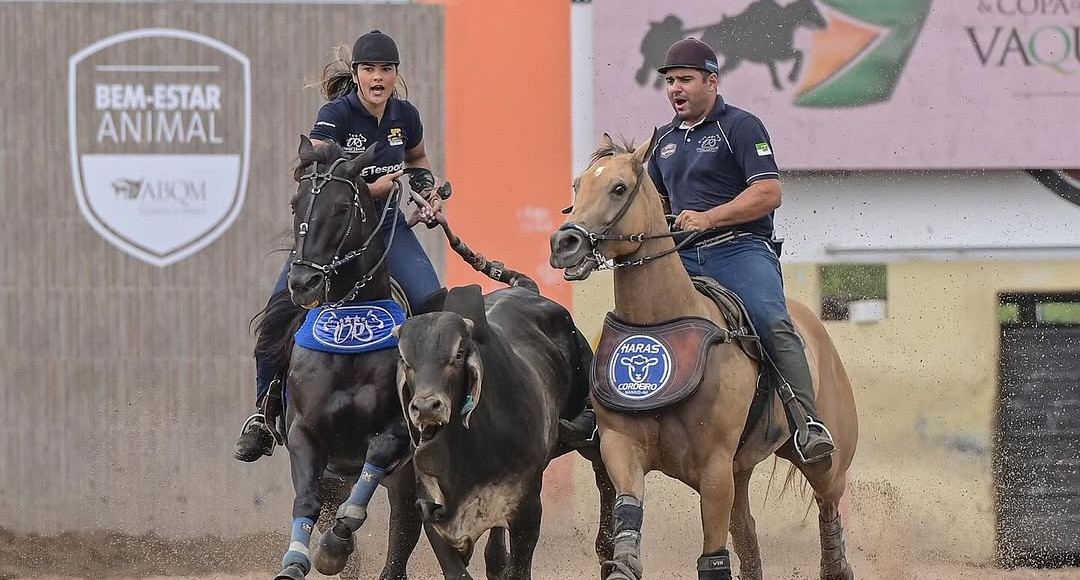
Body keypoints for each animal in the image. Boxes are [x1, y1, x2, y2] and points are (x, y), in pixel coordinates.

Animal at [552, 133, 855, 578]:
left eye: (619, 188)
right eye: (577, 185)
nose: (563, 244)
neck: (661, 322)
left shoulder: (714, 472)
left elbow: (713, 559)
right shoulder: (621, 448)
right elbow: (627, 525)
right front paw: (622, 561)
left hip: (825, 462)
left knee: (827, 503)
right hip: (741, 470)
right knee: (747, 532)